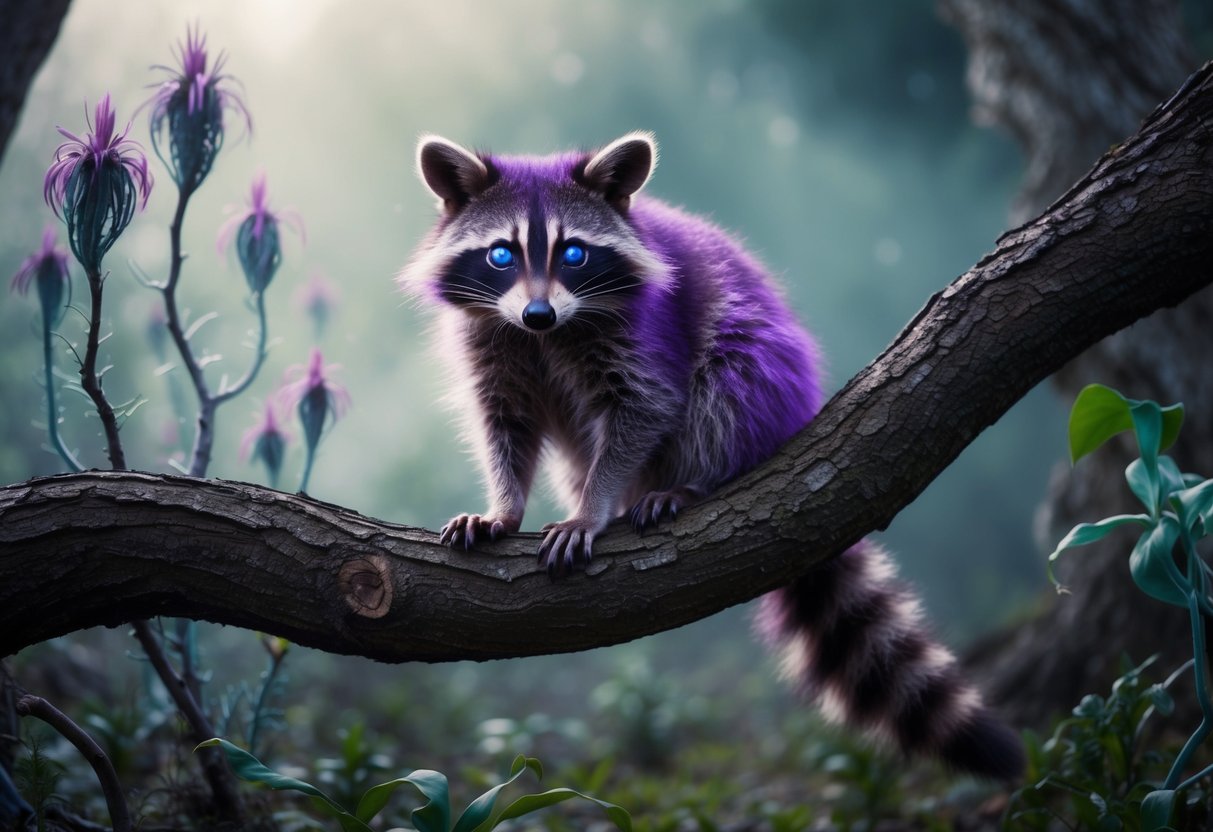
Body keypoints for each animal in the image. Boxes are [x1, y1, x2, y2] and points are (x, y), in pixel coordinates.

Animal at [399, 132, 1024, 780]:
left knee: (724, 383)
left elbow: (645, 408)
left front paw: (592, 508)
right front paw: (505, 505)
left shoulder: (645, 330)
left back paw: (691, 483)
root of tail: (797, 413)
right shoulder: (493, 340)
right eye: (502, 255)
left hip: (761, 372)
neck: (543, 335)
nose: (538, 314)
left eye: (574, 254)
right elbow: (504, 425)